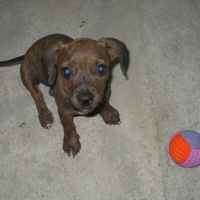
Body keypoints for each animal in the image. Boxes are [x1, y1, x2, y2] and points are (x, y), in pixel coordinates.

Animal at [0, 33, 128, 157]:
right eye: (66, 71)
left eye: (101, 69)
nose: (85, 99)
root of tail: (27, 52)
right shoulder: (63, 112)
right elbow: (68, 127)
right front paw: (71, 143)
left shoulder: (105, 91)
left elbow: (105, 101)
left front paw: (109, 113)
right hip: (27, 75)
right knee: (37, 95)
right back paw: (44, 115)